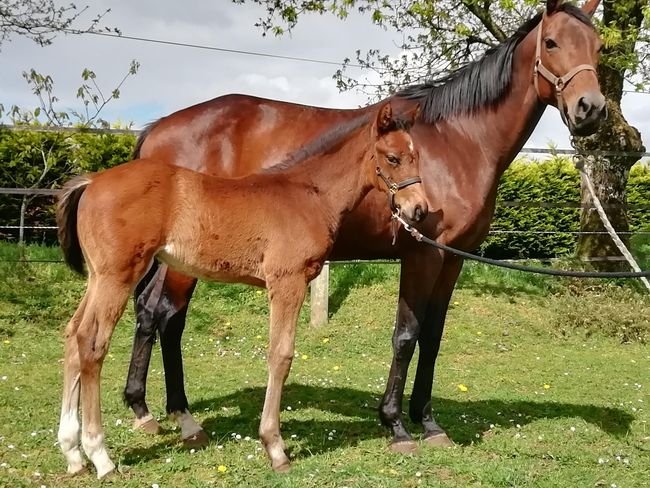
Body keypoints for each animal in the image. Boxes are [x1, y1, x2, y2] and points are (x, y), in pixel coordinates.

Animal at [55, 102, 426, 478]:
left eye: (416, 155)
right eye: (393, 157)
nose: (419, 210)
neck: (308, 193)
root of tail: (92, 180)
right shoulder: (287, 281)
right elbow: (281, 355)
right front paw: (275, 447)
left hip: (97, 277)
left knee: (73, 335)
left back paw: (73, 453)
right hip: (117, 276)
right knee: (92, 342)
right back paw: (100, 456)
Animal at [122, 0, 606, 454]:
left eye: (598, 46)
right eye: (551, 43)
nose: (591, 109)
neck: (458, 141)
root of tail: (157, 131)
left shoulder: (453, 259)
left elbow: (433, 336)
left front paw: (429, 422)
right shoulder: (423, 253)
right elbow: (407, 335)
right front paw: (396, 425)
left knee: (148, 311)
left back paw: (143, 410)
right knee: (168, 317)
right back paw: (183, 418)